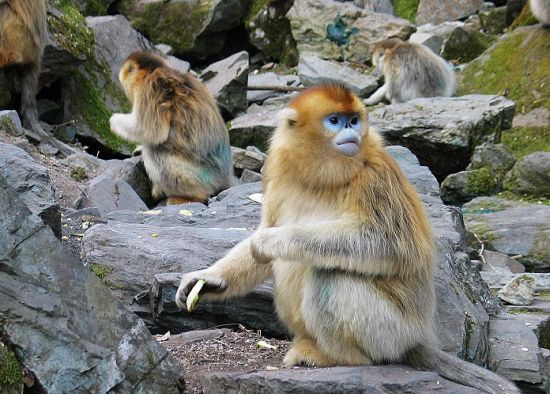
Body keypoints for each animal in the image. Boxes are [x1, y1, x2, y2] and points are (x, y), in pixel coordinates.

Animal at [111, 51, 234, 205]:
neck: (152, 70)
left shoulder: (150, 88)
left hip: (197, 175)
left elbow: (150, 130)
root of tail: (225, 179)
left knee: (153, 150)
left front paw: (113, 121)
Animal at [178, 81, 520, 392]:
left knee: (329, 273)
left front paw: (270, 241)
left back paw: (336, 356)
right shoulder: (278, 177)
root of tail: (416, 337)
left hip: (390, 333)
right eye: (335, 121)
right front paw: (209, 280)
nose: (352, 133)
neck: (322, 174)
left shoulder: (374, 175)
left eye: (353, 120)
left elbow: (387, 245)